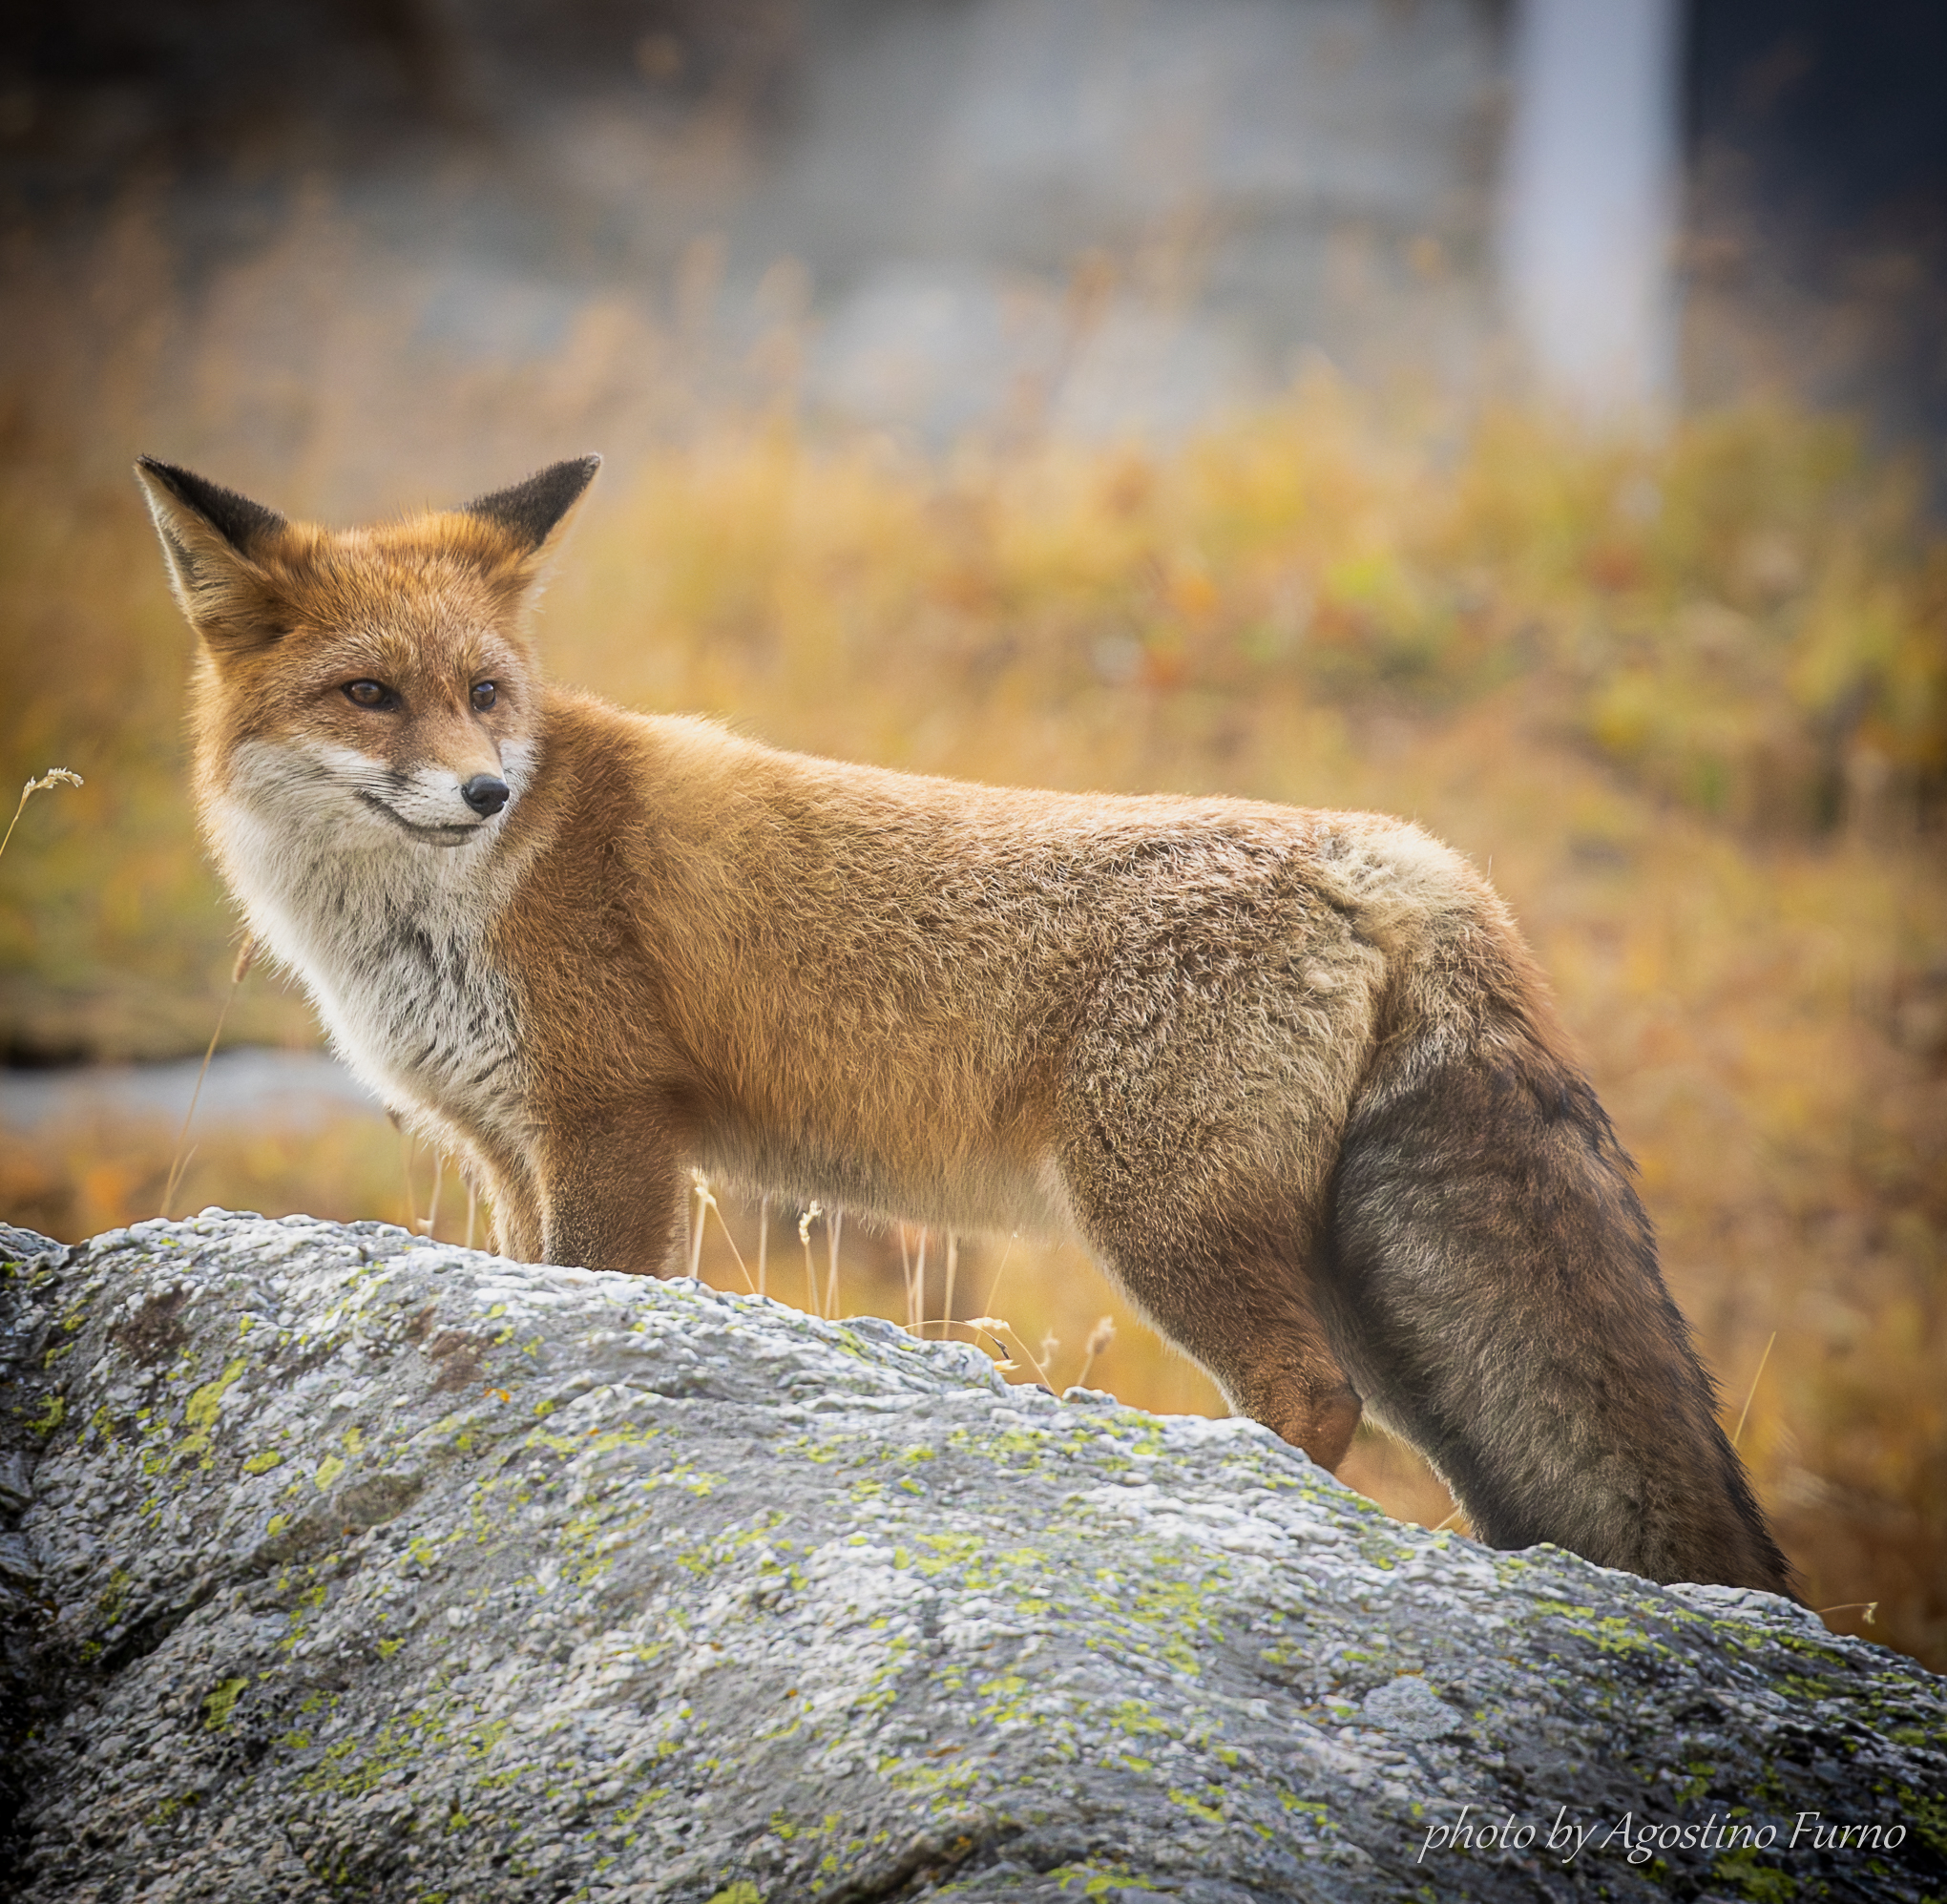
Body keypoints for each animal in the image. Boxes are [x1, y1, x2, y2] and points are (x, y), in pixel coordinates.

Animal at [135, 452, 1793, 1596]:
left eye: (485, 693)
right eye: (371, 693)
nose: (483, 788)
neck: (436, 911)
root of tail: (1394, 851)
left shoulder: (610, 1127)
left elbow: (601, 1293)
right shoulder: (504, 1146)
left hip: (1167, 1220)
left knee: (1302, 1393)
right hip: (1366, 1287)